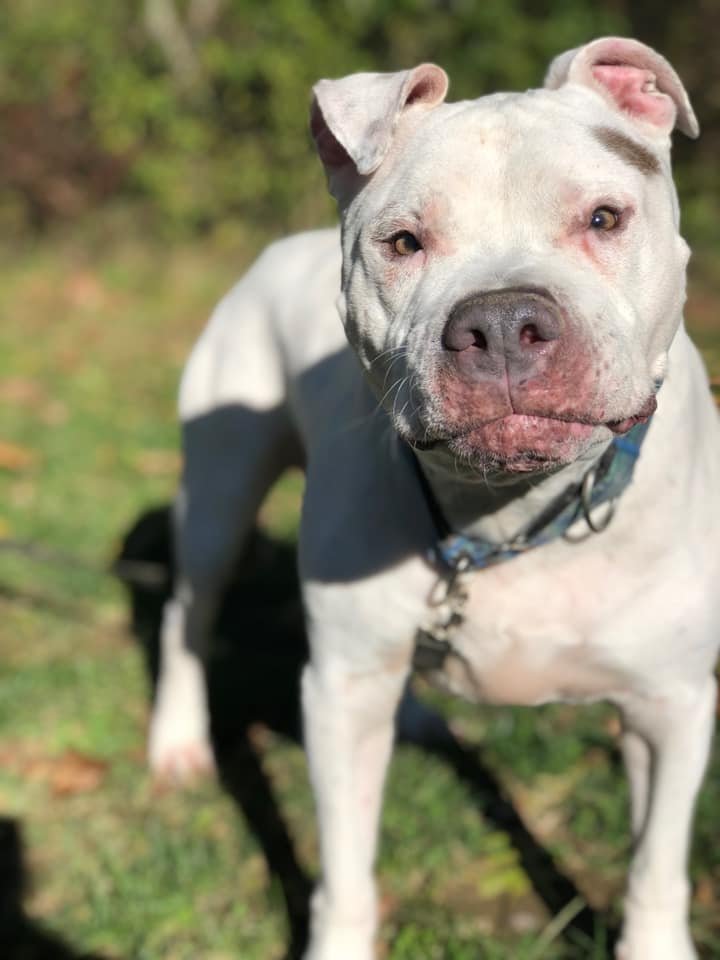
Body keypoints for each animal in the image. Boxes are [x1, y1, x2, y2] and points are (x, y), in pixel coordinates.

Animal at [149, 37, 716, 960]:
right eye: (405, 241)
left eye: (603, 218)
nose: (503, 324)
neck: (512, 515)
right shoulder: (340, 695)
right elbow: (345, 873)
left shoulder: (671, 705)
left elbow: (655, 871)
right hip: (220, 491)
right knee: (186, 616)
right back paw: (176, 744)